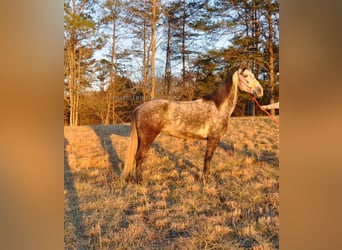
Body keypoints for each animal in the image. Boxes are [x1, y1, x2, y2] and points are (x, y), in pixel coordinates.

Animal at [123, 65, 262, 183]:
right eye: (246, 76)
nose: (260, 91)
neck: (218, 107)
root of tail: (138, 108)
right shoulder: (213, 139)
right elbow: (207, 159)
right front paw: (205, 180)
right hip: (147, 138)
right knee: (139, 157)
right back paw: (140, 181)